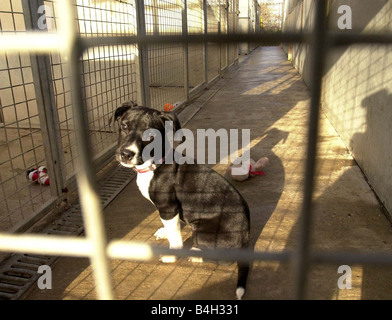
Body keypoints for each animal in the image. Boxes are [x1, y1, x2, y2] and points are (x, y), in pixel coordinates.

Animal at [113, 101, 251, 298]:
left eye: (150, 135)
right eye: (124, 126)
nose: (126, 154)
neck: (155, 164)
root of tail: (246, 233)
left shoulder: (168, 207)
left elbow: (176, 237)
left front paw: (172, 255)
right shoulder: (171, 211)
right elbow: (173, 226)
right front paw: (164, 231)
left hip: (203, 232)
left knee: (225, 260)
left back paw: (196, 255)